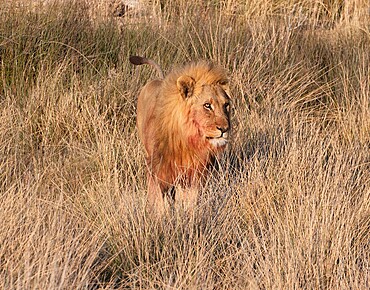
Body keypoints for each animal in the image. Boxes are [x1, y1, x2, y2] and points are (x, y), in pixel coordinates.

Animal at [129, 55, 230, 214]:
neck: (187, 140)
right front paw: (158, 215)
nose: (225, 129)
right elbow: (158, 200)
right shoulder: (157, 167)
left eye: (226, 105)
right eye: (207, 105)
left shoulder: (193, 173)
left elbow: (189, 202)